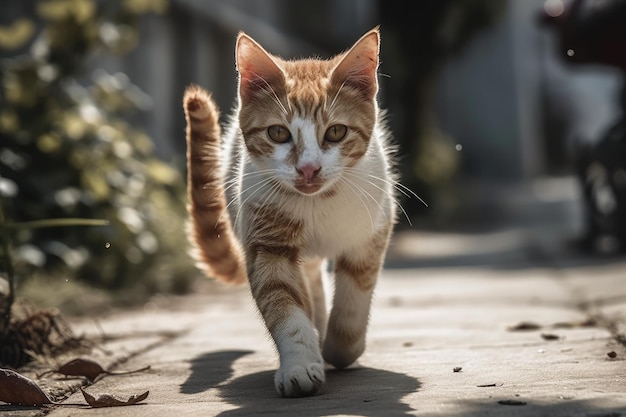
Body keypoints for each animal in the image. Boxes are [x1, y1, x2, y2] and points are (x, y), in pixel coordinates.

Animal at [183, 26, 402, 396]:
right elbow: (285, 304)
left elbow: (353, 296)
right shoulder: (267, 241)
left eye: (336, 132)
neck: (318, 204)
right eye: (278, 133)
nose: (309, 169)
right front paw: (300, 364)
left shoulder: (372, 231)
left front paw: (339, 348)